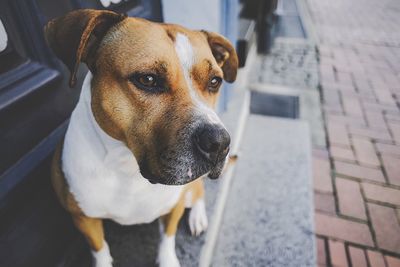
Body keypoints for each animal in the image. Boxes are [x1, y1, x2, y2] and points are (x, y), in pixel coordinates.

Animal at [44, 8, 238, 267]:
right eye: (147, 79)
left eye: (215, 82)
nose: (219, 143)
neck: (127, 166)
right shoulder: (84, 219)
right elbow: (100, 249)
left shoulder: (174, 207)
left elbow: (167, 239)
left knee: (198, 192)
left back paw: (197, 216)